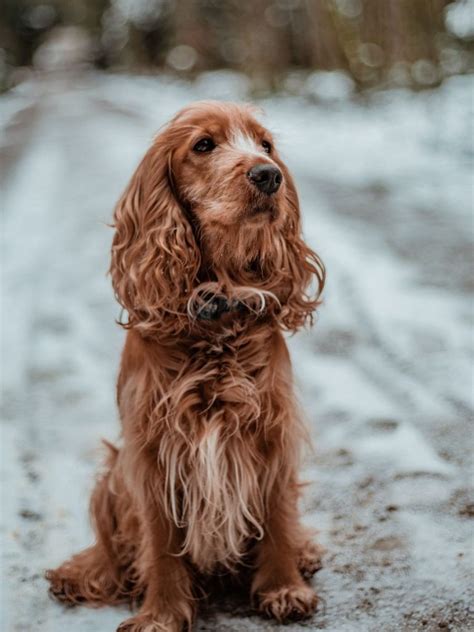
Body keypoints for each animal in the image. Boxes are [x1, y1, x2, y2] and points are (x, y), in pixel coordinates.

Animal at [45, 101, 326, 628]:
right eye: (203, 145)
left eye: (265, 144)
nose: (269, 175)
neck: (217, 316)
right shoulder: (153, 450)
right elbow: (159, 543)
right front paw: (159, 614)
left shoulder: (272, 429)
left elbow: (277, 515)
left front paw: (284, 588)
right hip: (111, 474)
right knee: (112, 549)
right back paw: (80, 573)